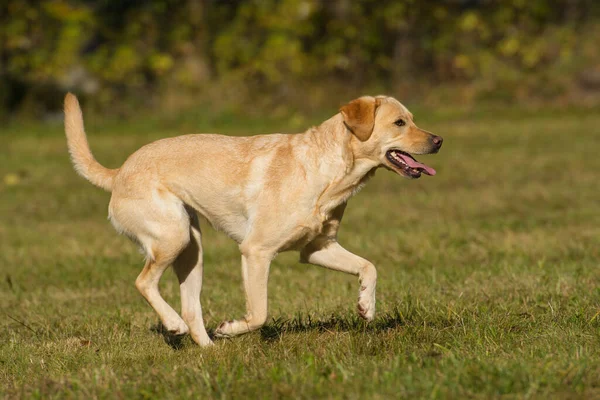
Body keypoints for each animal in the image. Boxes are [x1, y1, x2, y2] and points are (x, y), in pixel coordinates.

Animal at [64, 92, 440, 346]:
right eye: (400, 123)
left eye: (412, 119)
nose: (438, 140)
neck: (329, 172)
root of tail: (118, 172)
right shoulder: (256, 252)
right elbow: (259, 314)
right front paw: (231, 328)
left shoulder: (317, 248)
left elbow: (369, 266)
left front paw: (366, 307)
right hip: (173, 237)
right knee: (144, 283)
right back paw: (174, 325)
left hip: (192, 248)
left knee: (190, 308)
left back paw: (209, 350)